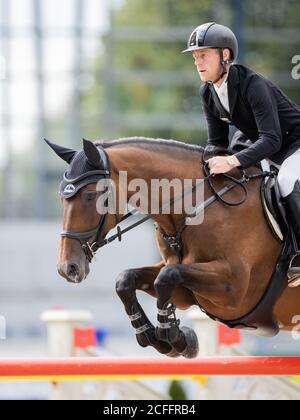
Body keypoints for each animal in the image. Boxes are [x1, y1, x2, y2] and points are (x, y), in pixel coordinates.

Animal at [45, 137, 300, 358]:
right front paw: (158, 336)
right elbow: (127, 280)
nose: (67, 268)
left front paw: (174, 337)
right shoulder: (184, 289)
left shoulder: (234, 288)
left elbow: (167, 277)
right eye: (61, 198)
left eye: (90, 196)